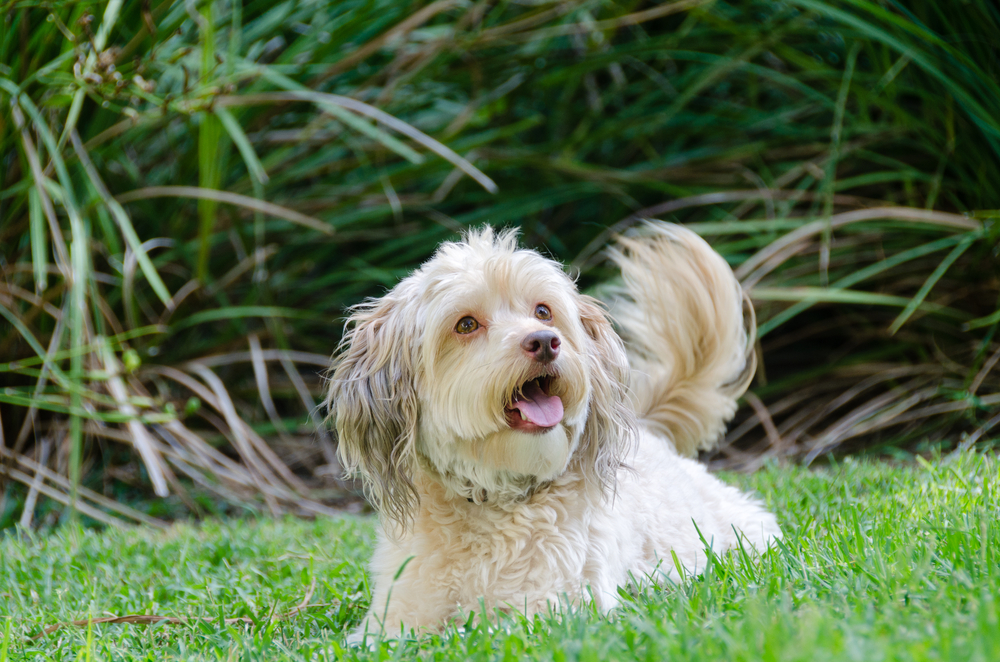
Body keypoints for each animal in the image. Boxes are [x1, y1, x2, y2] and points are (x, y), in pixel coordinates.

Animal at [328, 223, 780, 644]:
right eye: (466, 324)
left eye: (543, 311)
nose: (545, 341)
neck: (493, 498)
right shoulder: (394, 616)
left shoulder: (554, 608)